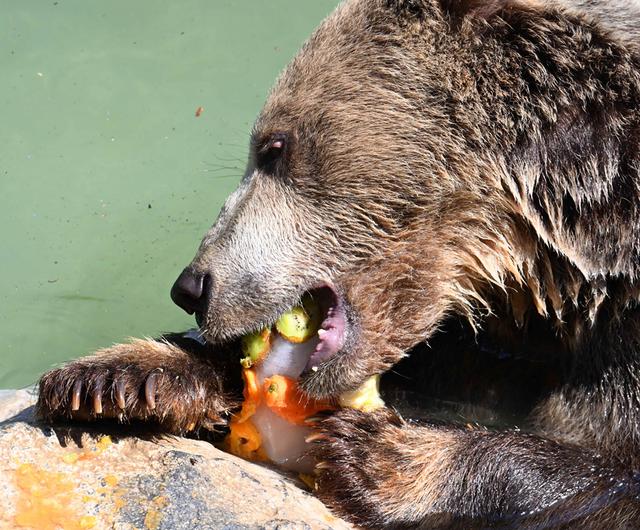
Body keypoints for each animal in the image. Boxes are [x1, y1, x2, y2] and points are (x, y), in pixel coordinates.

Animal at [37, 0, 640, 524]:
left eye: (274, 147)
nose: (192, 285)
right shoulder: (507, 336)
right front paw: (122, 378)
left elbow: (603, 468)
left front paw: (373, 456)